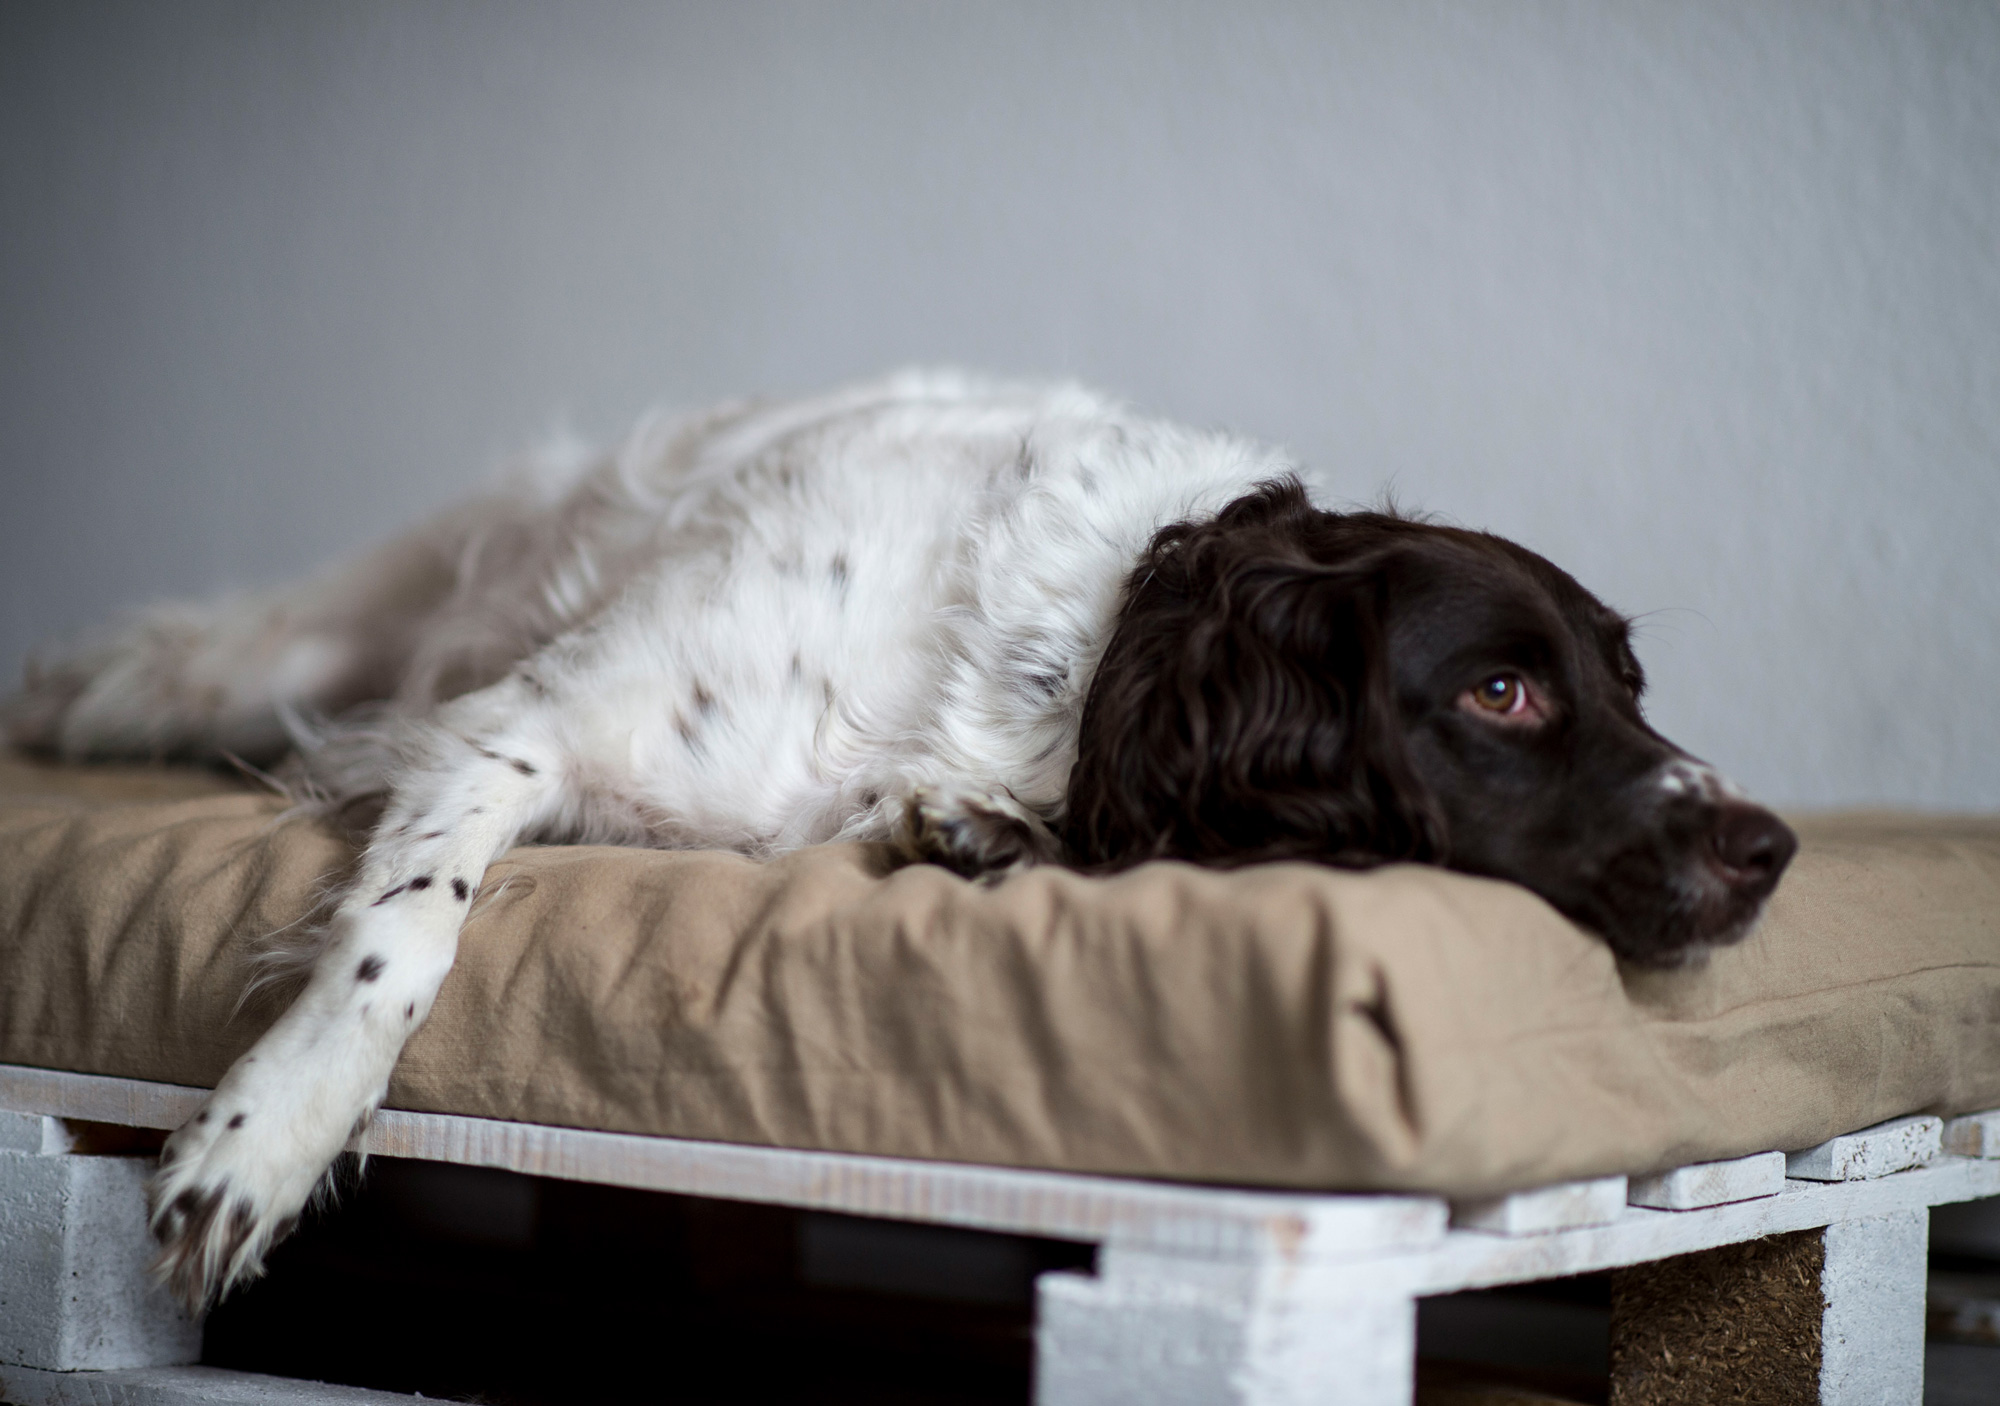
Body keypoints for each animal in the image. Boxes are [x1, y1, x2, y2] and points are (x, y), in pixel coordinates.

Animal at [0, 372, 1800, 1312]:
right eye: (1503, 690)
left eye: (1630, 686)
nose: (1770, 845)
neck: (1070, 647)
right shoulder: (521, 726)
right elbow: (403, 939)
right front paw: (266, 1135)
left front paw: (968, 828)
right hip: (243, 666)